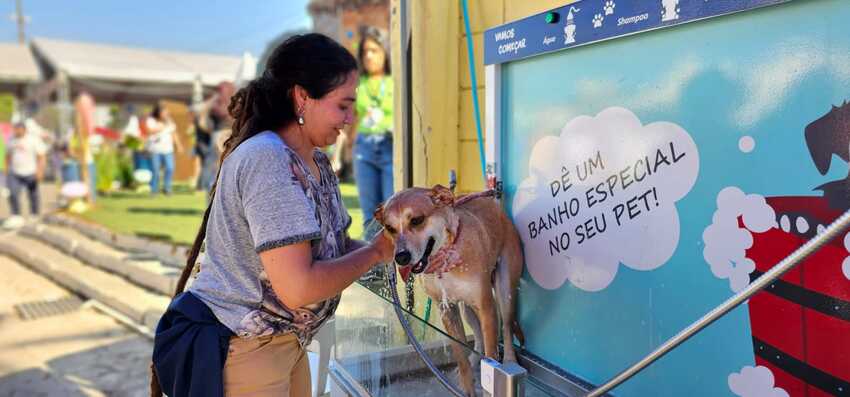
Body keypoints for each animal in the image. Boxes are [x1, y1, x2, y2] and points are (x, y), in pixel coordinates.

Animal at [372, 184, 520, 394]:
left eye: (416, 220)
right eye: (389, 228)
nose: (401, 257)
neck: (445, 258)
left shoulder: (486, 307)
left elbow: (491, 358)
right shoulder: (447, 310)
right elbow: (461, 356)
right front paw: (467, 387)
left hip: (504, 292)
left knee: (507, 328)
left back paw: (509, 360)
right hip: (467, 310)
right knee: (478, 337)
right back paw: (475, 358)